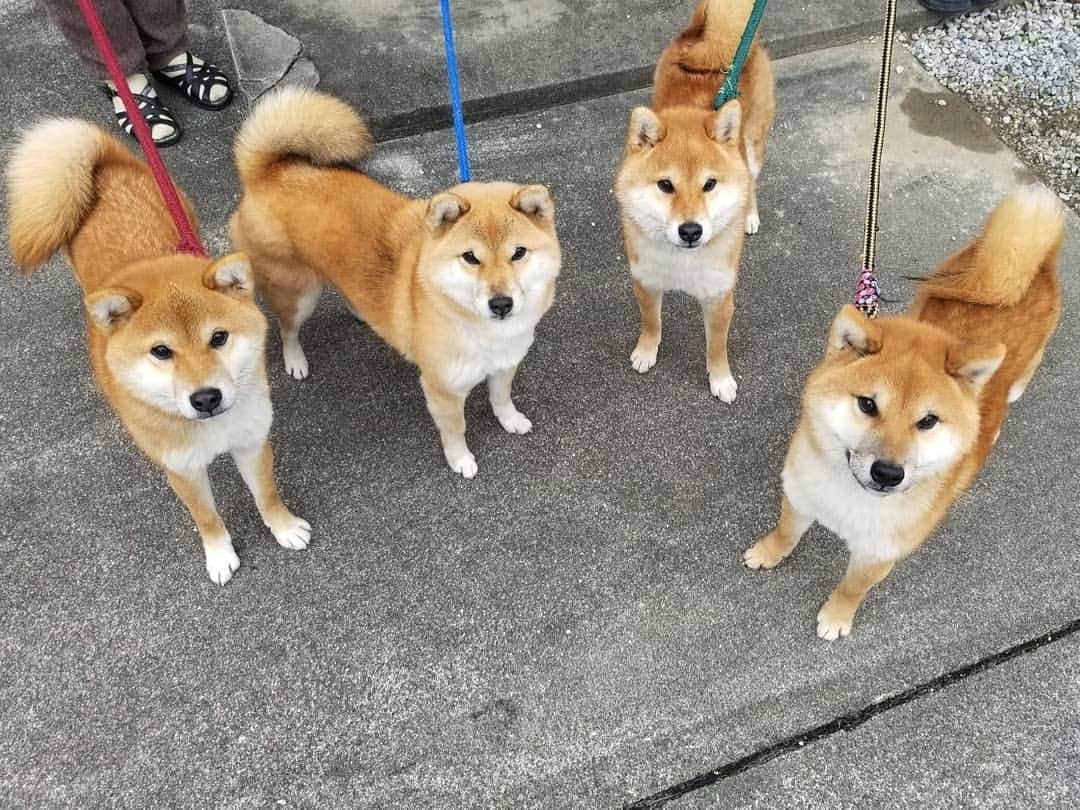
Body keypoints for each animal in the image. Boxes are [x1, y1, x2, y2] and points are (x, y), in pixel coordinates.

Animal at [8, 118, 311, 583]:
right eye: (161, 352)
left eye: (218, 338)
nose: (206, 398)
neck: (211, 429)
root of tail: (105, 167)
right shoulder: (181, 468)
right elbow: (207, 517)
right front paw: (220, 555)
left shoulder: (251, 440)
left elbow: (267, 494)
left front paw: (283, 527)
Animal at [231, 88, 561, 481]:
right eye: (470, 258)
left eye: (518, 253)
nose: (501, 304)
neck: (482, 331)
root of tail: (266, 172)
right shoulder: (442, 388)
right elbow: (456, 428)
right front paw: (460, 459)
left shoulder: (505, 363)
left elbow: (501, 397)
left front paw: (510, 420)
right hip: (298, 294)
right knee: (287, 328)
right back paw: (296, 360)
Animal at [617, 0, 777, 403]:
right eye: (665, 185)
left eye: (709, 185)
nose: (691, 231)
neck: (682, 263)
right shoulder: (645, 280)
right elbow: (651, 322)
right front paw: (646, 351)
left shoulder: (719, 297)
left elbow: (716, 347)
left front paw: (720, 379)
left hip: (752, 146)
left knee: (751, 180)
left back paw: (749, 215)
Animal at [743, 190, 1062, 639]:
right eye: (868, 404)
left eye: (927, 421)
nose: (888, 473)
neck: (850, 499)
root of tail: (1036, 259)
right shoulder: (800, 495)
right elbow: (786, 533)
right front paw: (769, 552)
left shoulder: (879, 554)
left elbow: (852, 588)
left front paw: (836, 617)